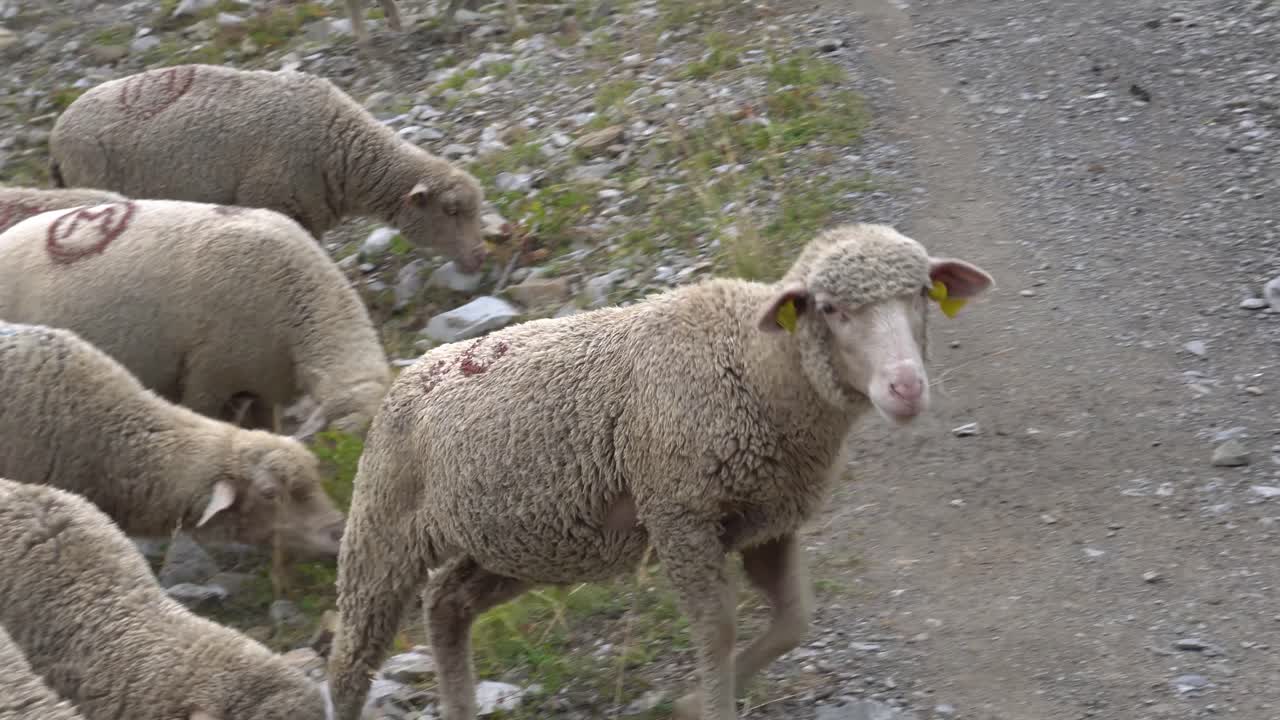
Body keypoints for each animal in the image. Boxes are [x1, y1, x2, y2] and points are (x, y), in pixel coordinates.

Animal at [325, 222, 995, 720]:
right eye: (830, 309)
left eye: (921, 295)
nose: (905, 387)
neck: (754, 365)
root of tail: (415, 369)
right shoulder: (682, 515)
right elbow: (717, 629)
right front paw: (712, 703)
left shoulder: (770, 520)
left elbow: (793, 620)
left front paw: (694, 699)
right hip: (382, 528)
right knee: (351, 663)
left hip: (519, 543)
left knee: (447, 603)